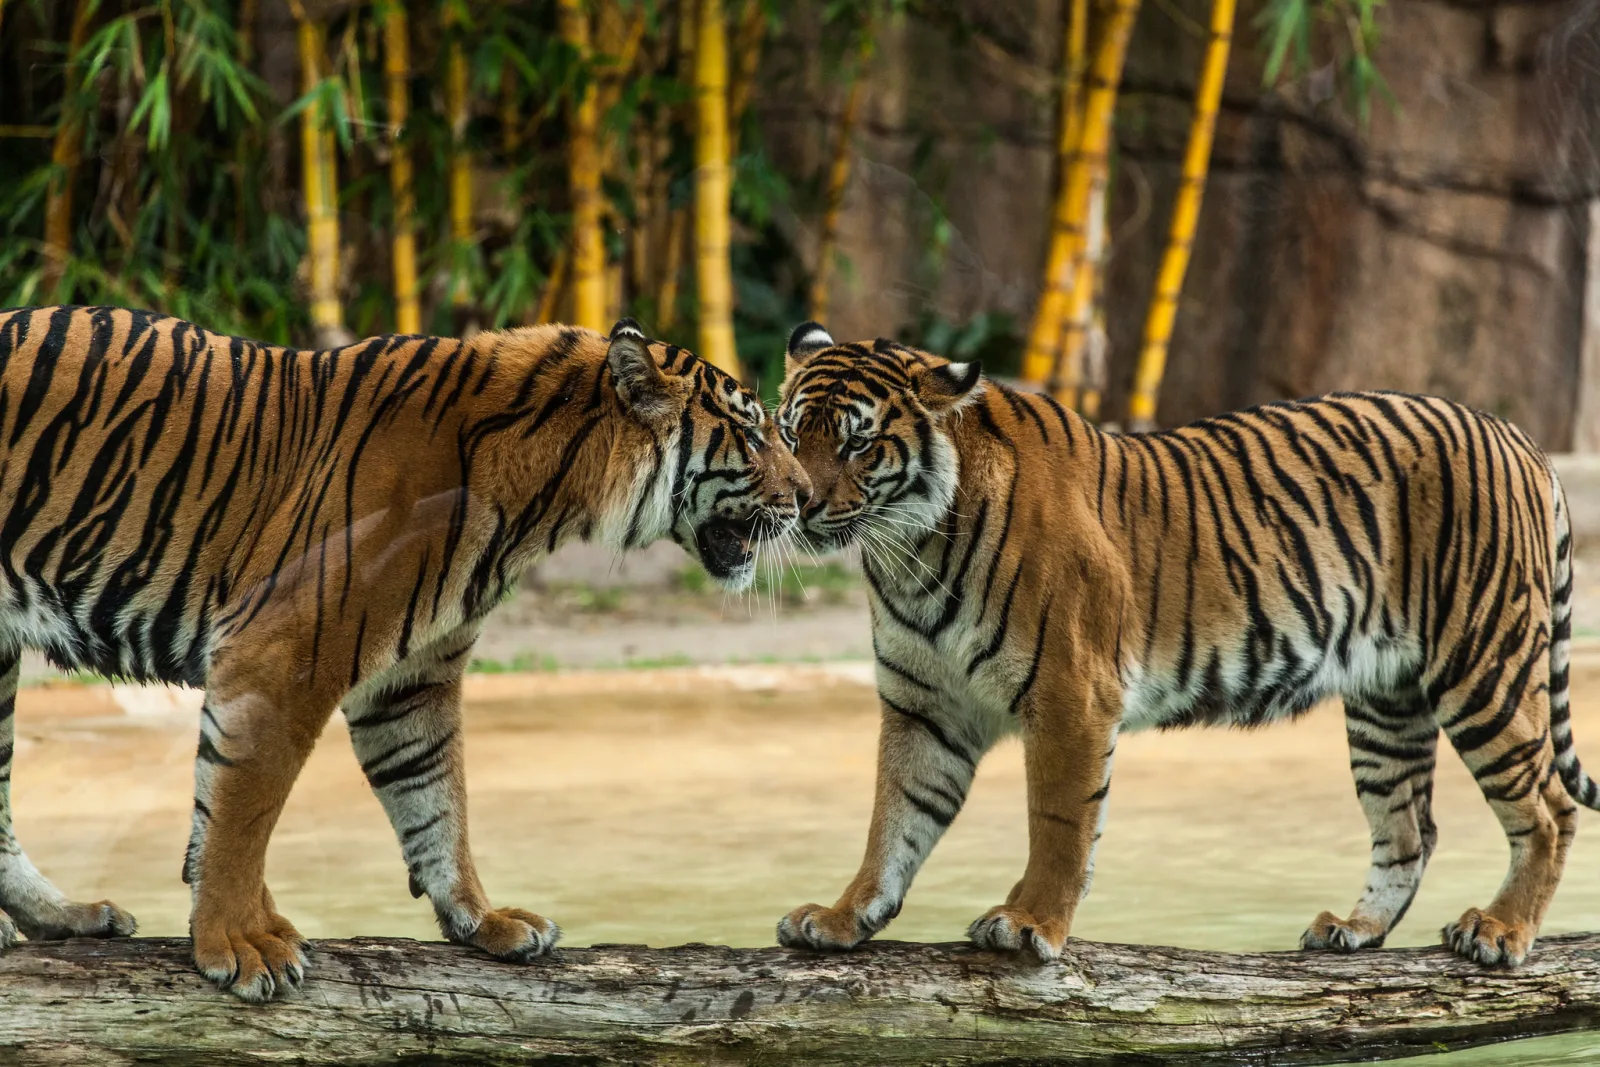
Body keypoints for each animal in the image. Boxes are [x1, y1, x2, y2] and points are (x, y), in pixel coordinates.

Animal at [0, 306, 808, 1001]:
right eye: (753, 433)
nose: (806, 494)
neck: (543, 493)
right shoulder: (282, 655)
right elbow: (241, 813)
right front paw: (236, 942)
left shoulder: (411, 679)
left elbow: (436, 799)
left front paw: (483, 921)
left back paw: (63, 918)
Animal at [770, 320, 1597, 969]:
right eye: (790, 432)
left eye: (859, 443)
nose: (801, 503)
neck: (910, 551)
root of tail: (1516, 435)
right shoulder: (924, 706)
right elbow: (893, 822)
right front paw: (841, 918)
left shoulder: (1070, 693)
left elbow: (1058, 822)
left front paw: (1029, 922)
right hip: (1386, 703)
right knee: (1410, 828)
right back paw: (1354, 929)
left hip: (1482, 666)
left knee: (1549, 807)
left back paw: (1500, 930)